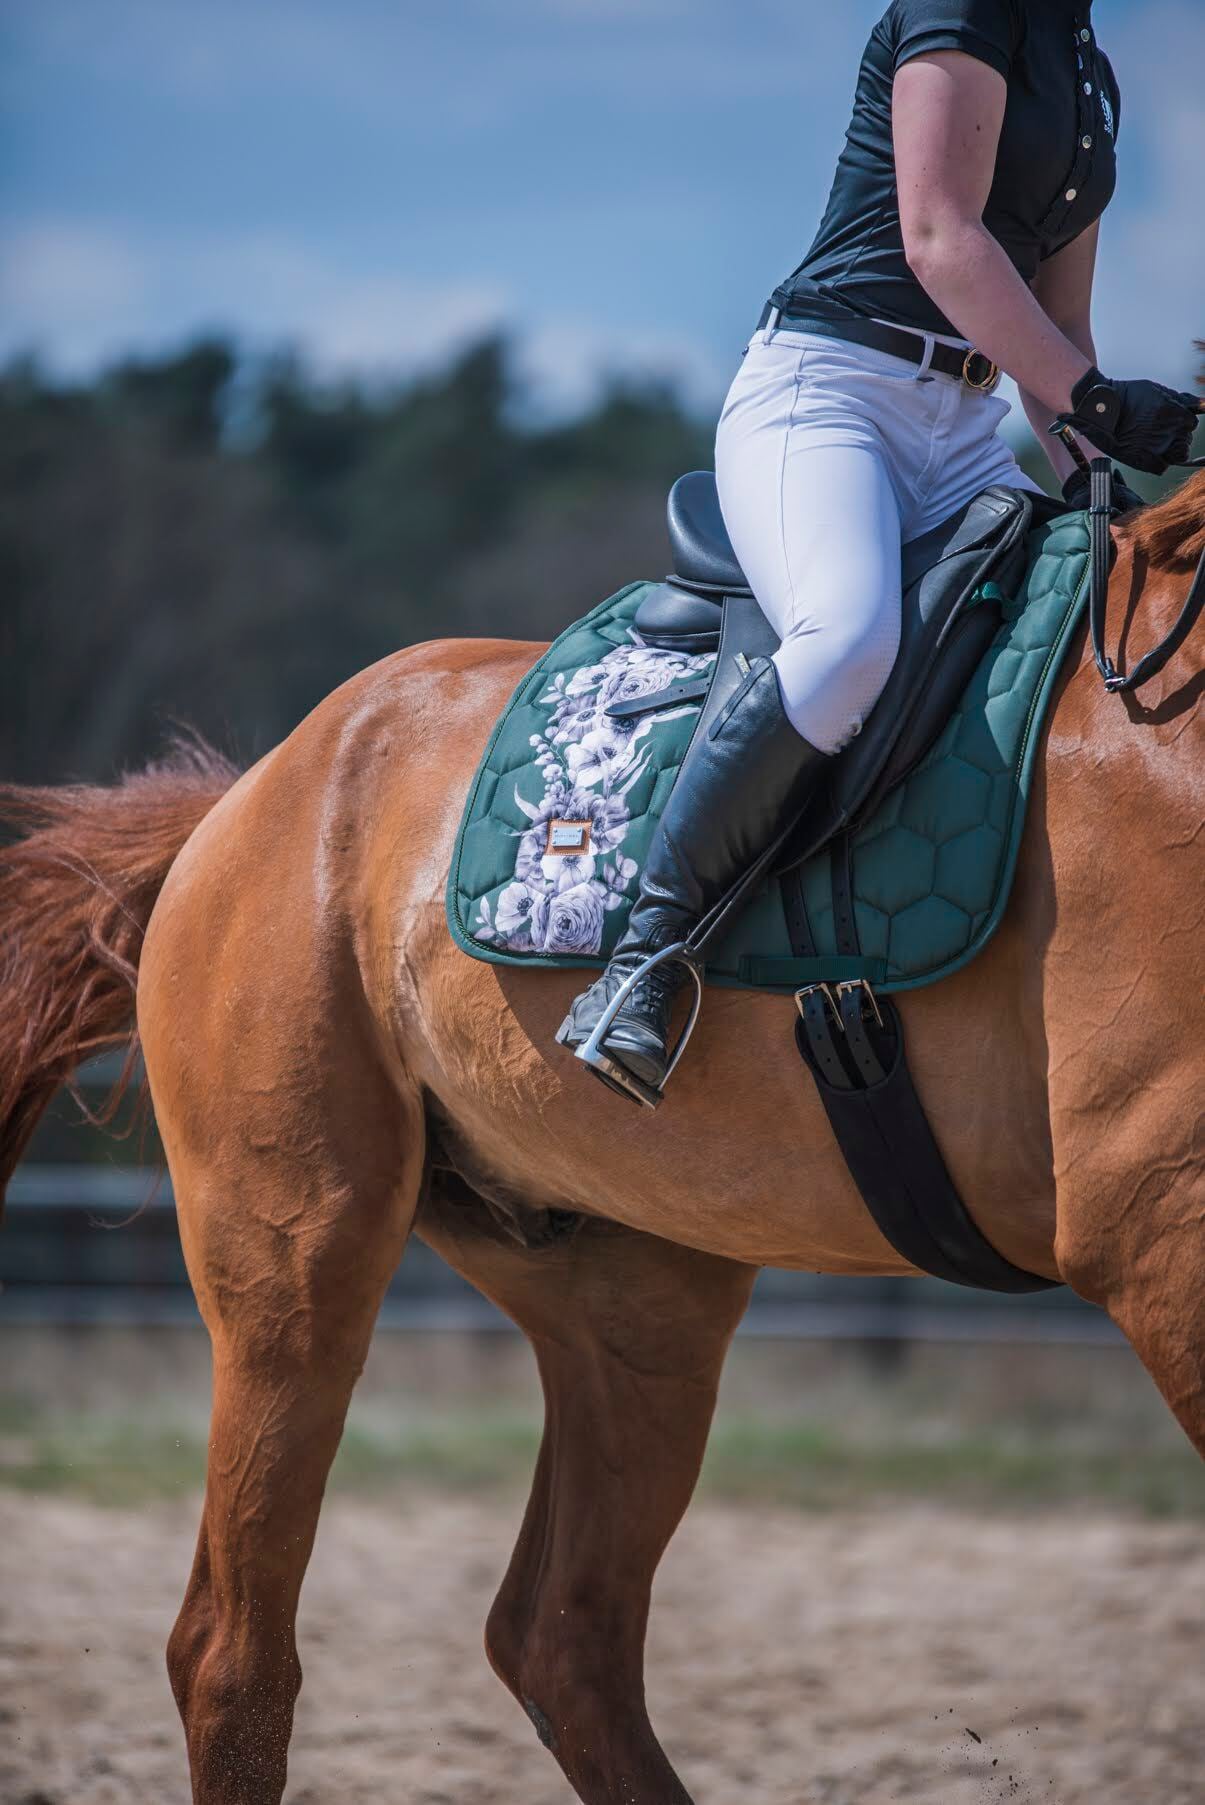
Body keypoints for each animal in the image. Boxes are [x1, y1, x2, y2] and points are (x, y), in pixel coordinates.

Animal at [0, 472, 1197, 1797]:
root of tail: (260, 785)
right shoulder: (1162, 1230)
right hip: (294, 1264)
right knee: (232, 1651)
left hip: (633, 1302)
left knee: (562, 1635)